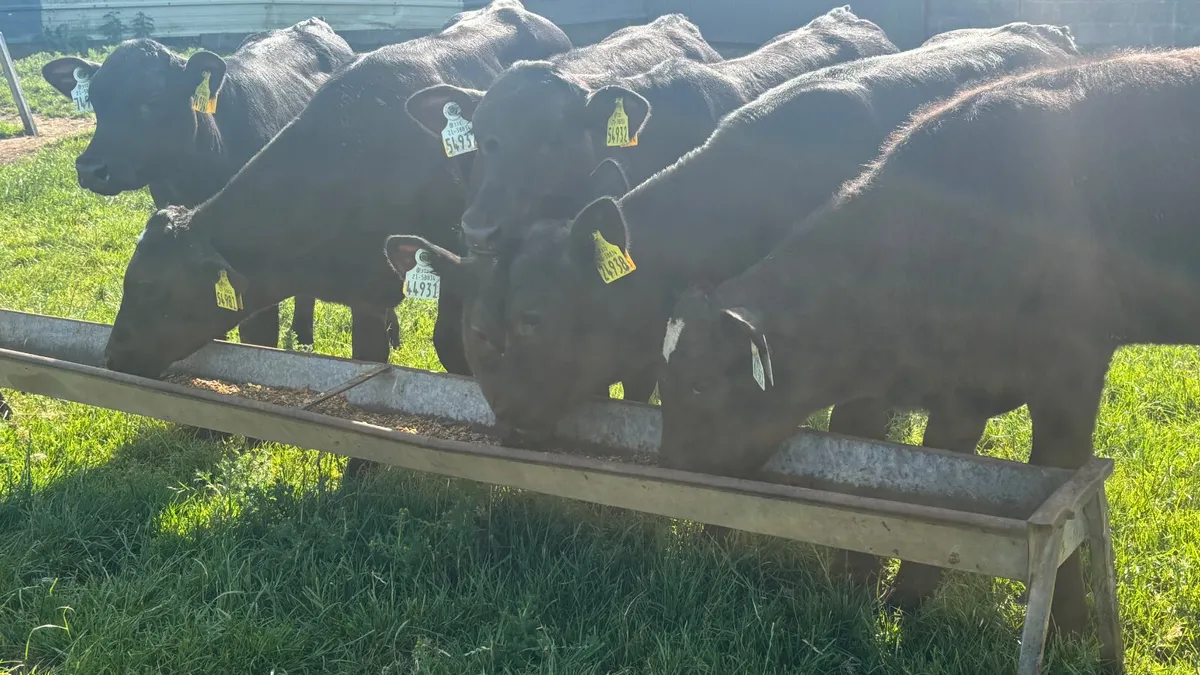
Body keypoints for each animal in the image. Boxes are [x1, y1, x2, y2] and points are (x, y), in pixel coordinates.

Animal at [659, 47, 1200, 643]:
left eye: (701, 385)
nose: (666, 461)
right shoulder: (963, 389)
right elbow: (944, 477)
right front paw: (902, 602)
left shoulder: (1072, 372)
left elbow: (1061, 490)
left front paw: (1069, 628)